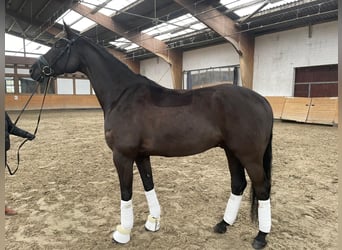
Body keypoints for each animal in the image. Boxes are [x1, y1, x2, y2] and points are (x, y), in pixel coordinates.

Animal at [30, 24, 274, 249]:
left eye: (59, 45)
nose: (34, 69)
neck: (122, 96)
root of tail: (262, 100)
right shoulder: (141, 155)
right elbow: (148, 184)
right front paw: (153, 221)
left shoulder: (122, 155)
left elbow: (126, 191)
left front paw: (123, 232)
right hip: (231, 151)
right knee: (238, 184)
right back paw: (223, 224)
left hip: (249, 156)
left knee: (262, 188)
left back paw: (260, 237)